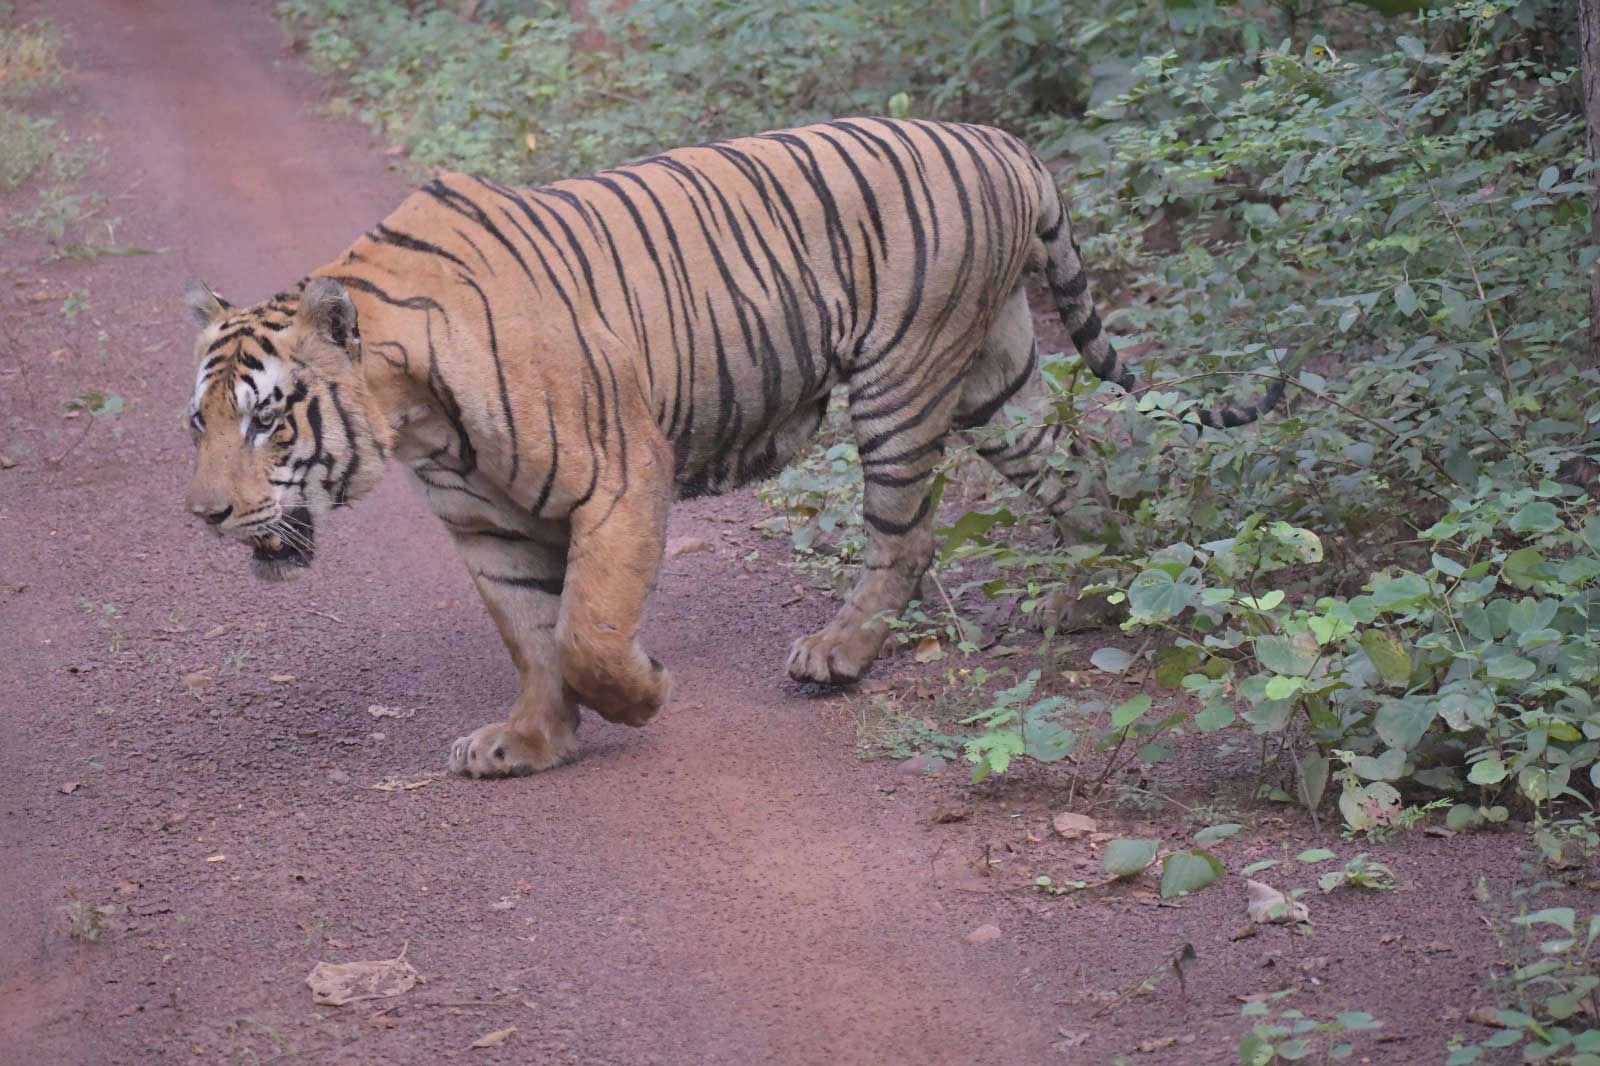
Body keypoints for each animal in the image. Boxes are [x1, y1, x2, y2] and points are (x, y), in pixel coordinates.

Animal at [182, 118, 1280, 780]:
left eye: (270, 421)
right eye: (201, 423)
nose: (204, 514)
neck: (410, 414)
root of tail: (1002, 140)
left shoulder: (623, 474)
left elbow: (585, 631)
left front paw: (644, 691)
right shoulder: (483, 525)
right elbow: (532, 637)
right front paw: (532, 743)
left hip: (902, 378)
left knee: (906, 535)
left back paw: (838, 655)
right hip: (995, 380)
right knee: (1075, 472)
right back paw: (1090, 599)